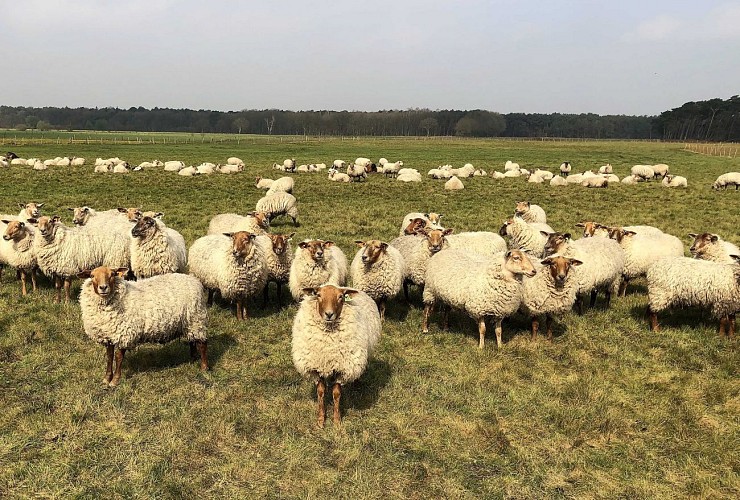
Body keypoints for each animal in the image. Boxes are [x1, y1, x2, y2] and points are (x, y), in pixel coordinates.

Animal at [79, 267, 208, 387]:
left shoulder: (124, 334)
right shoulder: (108, 335)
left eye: (112, 274)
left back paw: (204, 368)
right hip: (188, 323)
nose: (103, 287)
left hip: (197, 319)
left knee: (202, 344)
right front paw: (106, 378)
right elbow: (109, 357)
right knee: (192, 340)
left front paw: (115, 380)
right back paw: (193, 358)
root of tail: (193, 280)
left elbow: (118, 357)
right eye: (92, 275)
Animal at [291, 284, 380, 427]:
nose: (329, 314)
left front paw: (337, 421)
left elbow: (336, 394)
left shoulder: (342, 369)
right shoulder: (317, 368)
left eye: (341, 297)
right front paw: (321, 420)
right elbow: (321, 392)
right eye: (318, 295)